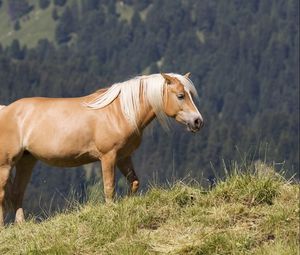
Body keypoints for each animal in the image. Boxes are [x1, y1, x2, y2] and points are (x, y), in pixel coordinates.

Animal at [0, 72, 203, 225]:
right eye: (180, 95)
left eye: (190, 94)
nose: (197, 121)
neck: (121, 112)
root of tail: (6, 110)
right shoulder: (108, 157)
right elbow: (109, 188)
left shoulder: (123, 157)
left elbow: (134, 182)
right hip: (6, 165)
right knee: (3, 195)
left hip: (27, 160)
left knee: (17, 193)